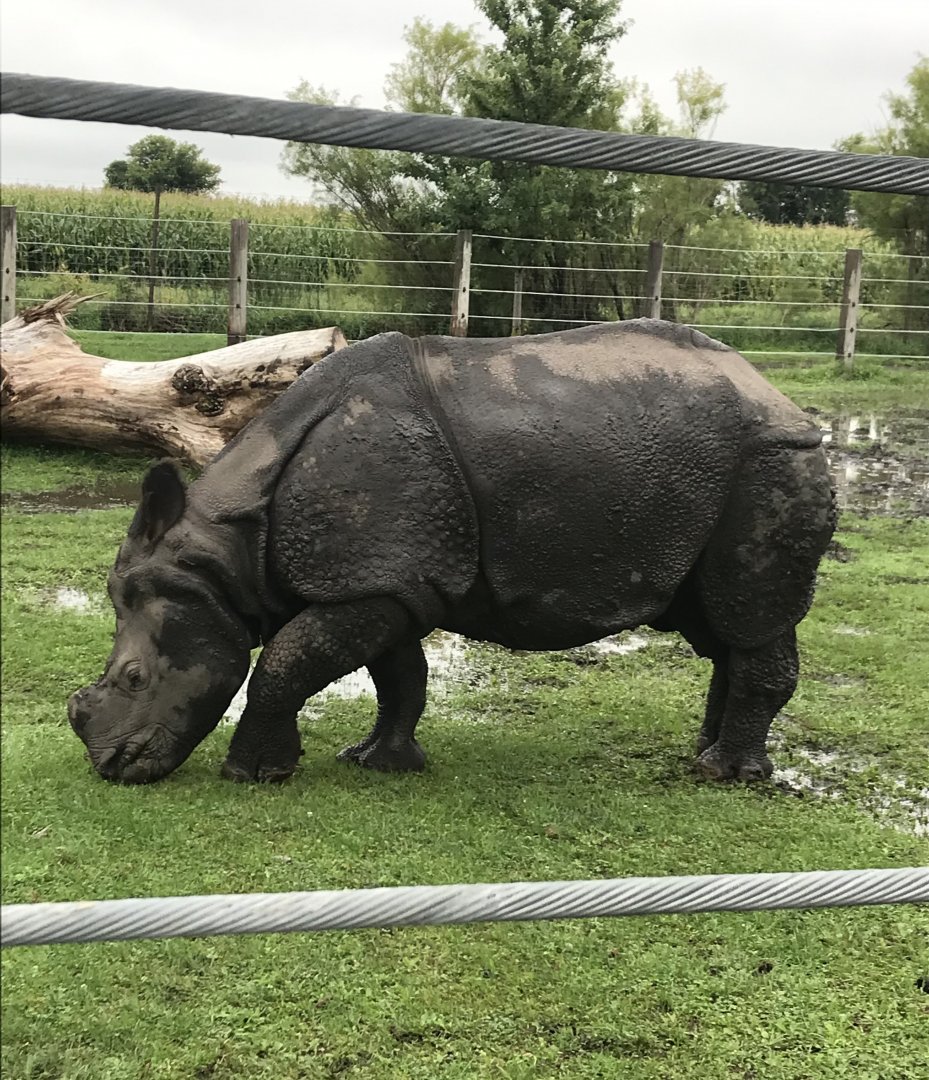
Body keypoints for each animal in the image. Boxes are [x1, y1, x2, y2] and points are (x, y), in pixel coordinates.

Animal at [68, 320, 835, 786]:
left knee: (747, 615)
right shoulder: (391, 580)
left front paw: (255, 775)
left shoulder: (369, 580)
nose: (110, 766)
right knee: (717, 625)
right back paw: (706, 754)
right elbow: (399, 676)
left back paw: (723, 774)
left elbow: (284, 665)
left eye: (134, 678)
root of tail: (779, 396)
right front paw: (378, 762)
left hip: (770, 459)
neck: (229, 550)